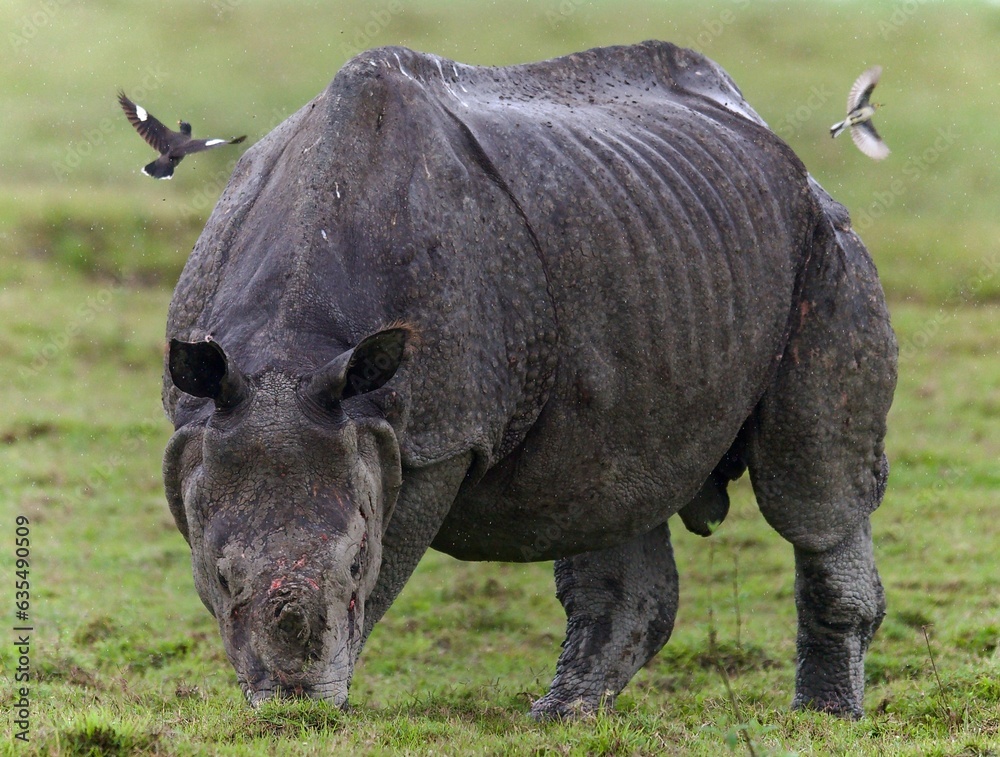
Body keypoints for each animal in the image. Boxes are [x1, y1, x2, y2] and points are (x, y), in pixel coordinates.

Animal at [162, 41, 897, 719]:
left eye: (353, 564)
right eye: (221, 576)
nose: (294, 703)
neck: (290, 355)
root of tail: (756, 123)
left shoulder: (439, 433)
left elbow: (387, 566)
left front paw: (330, 696)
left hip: (822, 244)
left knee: (811, 495)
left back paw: (824, 717)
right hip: (655, 242)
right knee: (608, 483)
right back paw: (565, 714)